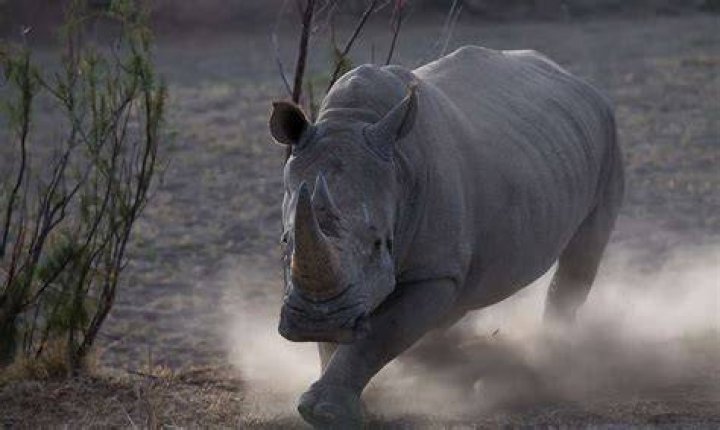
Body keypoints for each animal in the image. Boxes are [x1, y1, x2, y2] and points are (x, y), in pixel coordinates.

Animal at [269, 46, 624, 428]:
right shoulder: (345, 288)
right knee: (466, 290)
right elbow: (340, 337)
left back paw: (550, 363)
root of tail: (575, 79)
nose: (316, 322)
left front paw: (326, 412)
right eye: (285, 241)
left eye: (380, 243)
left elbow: (381, 335)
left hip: (609, 137)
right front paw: (336, 406)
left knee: (583, 250)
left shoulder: (433, 271)